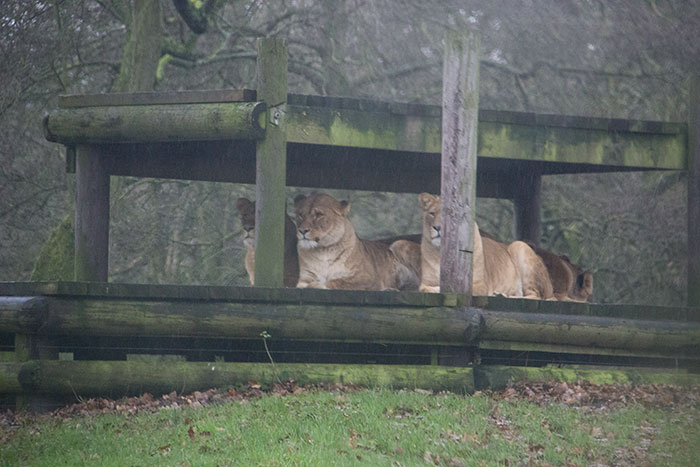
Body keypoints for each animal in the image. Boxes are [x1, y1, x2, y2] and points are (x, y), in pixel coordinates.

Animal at [417, 193, 554, 300]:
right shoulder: (425, 283)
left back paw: (501, 295)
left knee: (536, 295)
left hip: (519, 245)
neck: (441, 251)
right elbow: (425, 289)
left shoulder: (480, 285)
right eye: (432, 213)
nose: (438, 227)